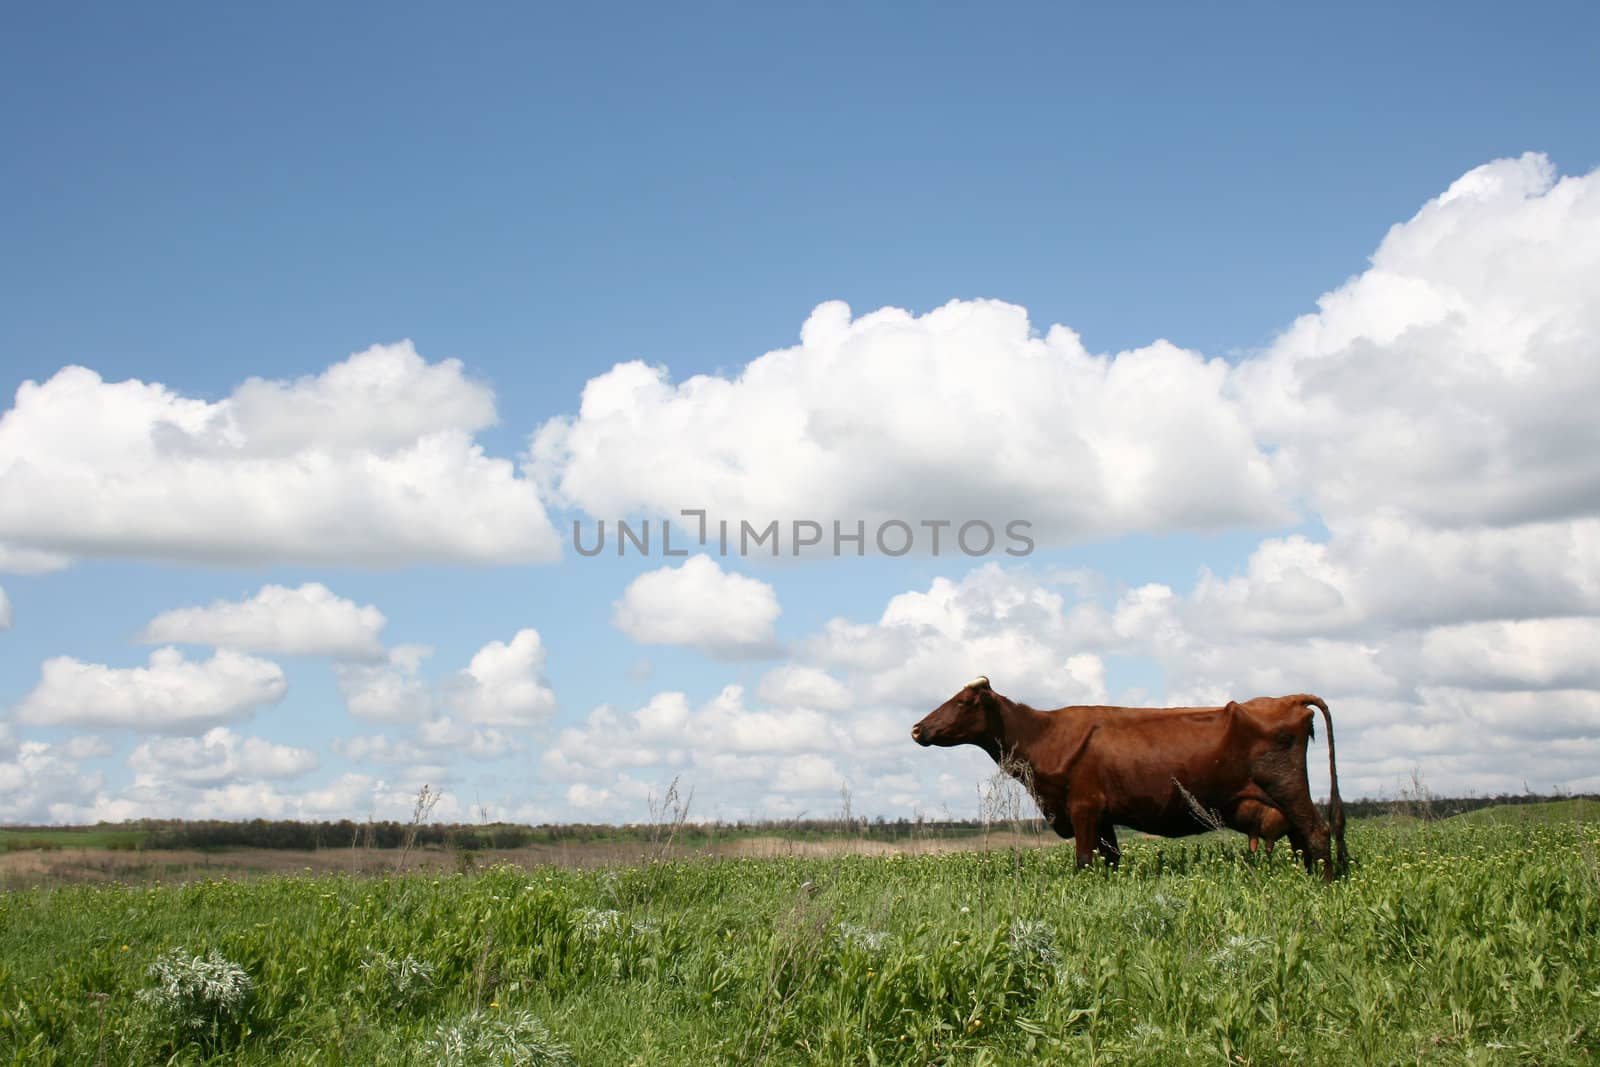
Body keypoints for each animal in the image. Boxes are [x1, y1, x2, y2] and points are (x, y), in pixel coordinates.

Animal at [908, 681, 1344, 883]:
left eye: (962, 702)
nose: (916, 728)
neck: (1044, 734)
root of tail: (1288, 700)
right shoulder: (1103, 816)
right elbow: (1111, 858)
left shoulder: (1083, 808)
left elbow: (1085, 860)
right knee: (1303, 841)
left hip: (1288, 790)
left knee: (1318, 833)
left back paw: (1321, 886)